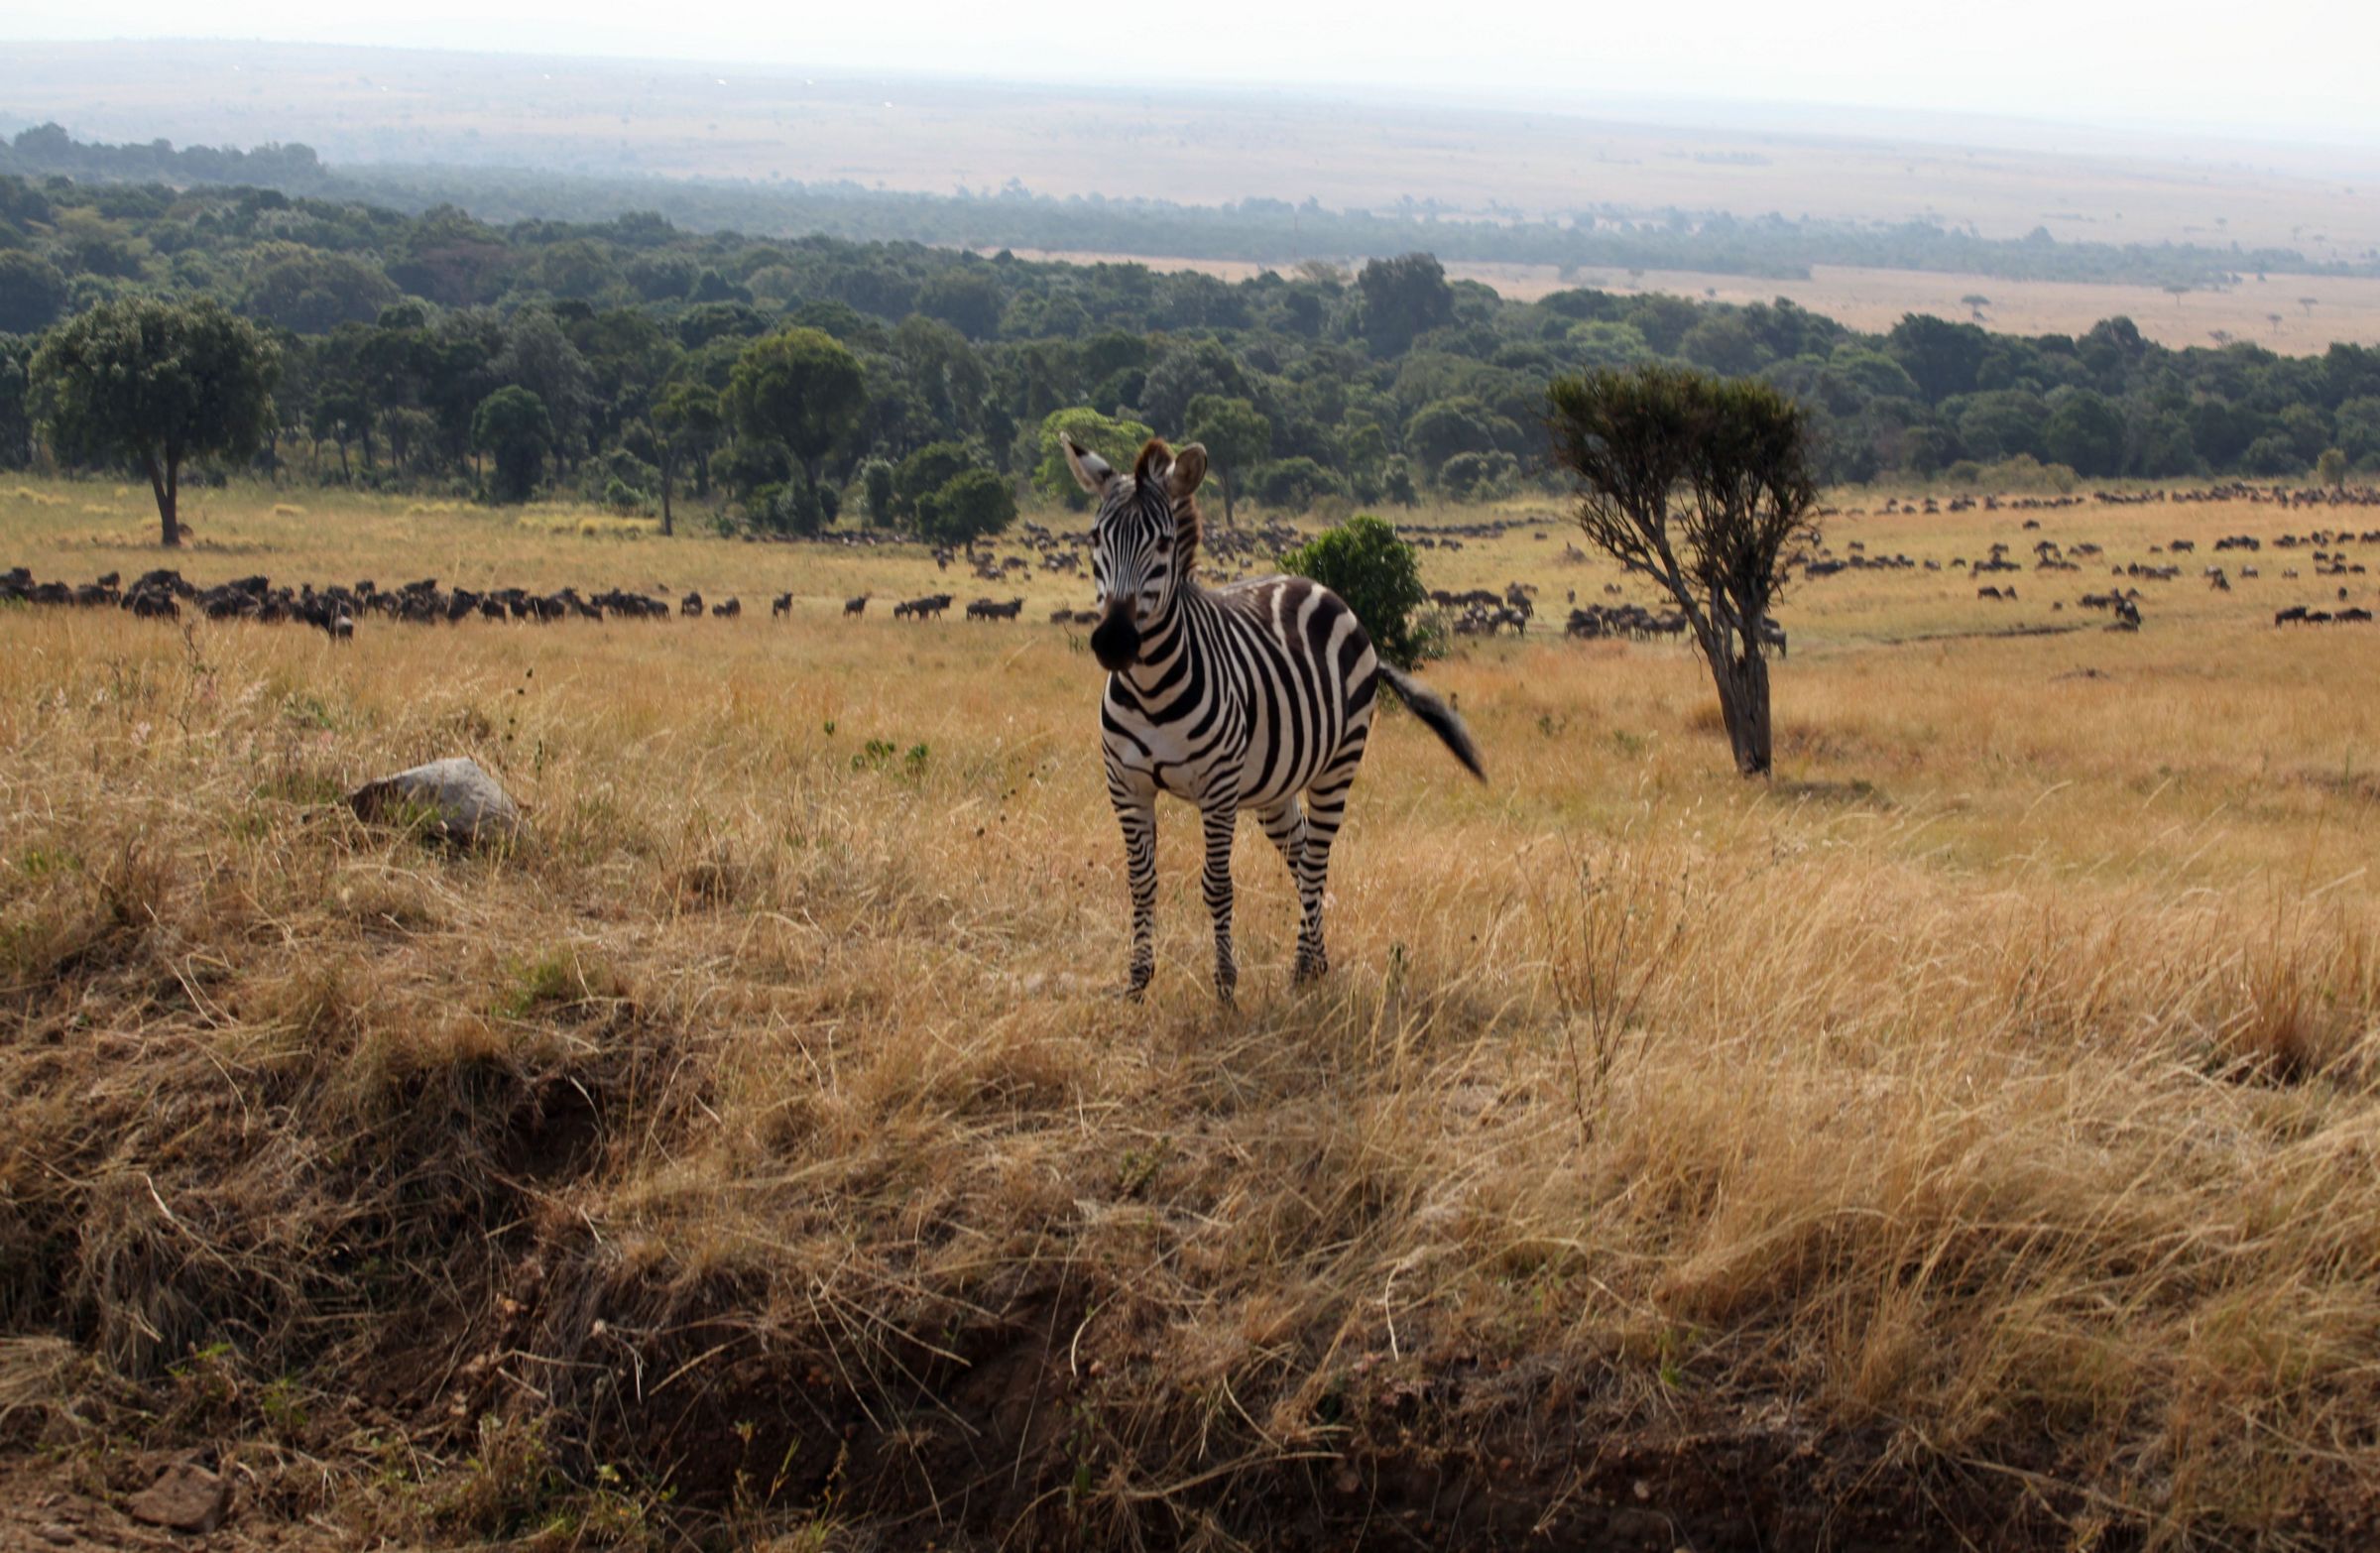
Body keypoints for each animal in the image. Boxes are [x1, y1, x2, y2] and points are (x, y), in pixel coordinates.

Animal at [1066, 433, 1476, 1005]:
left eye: (1165, 544)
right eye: (1095, 537)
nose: (1114, 643)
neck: (1150, 687)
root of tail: (1315, 586)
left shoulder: (1217, 789)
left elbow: (1217, 885)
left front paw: (1225, 986)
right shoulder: (1125, 784)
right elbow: (1141, 882)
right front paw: (1137, 982)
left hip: (1338, 764)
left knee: (1317, 859)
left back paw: (1303, 969)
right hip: (1272, 786)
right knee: (1301, 856)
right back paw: (1317, 961)